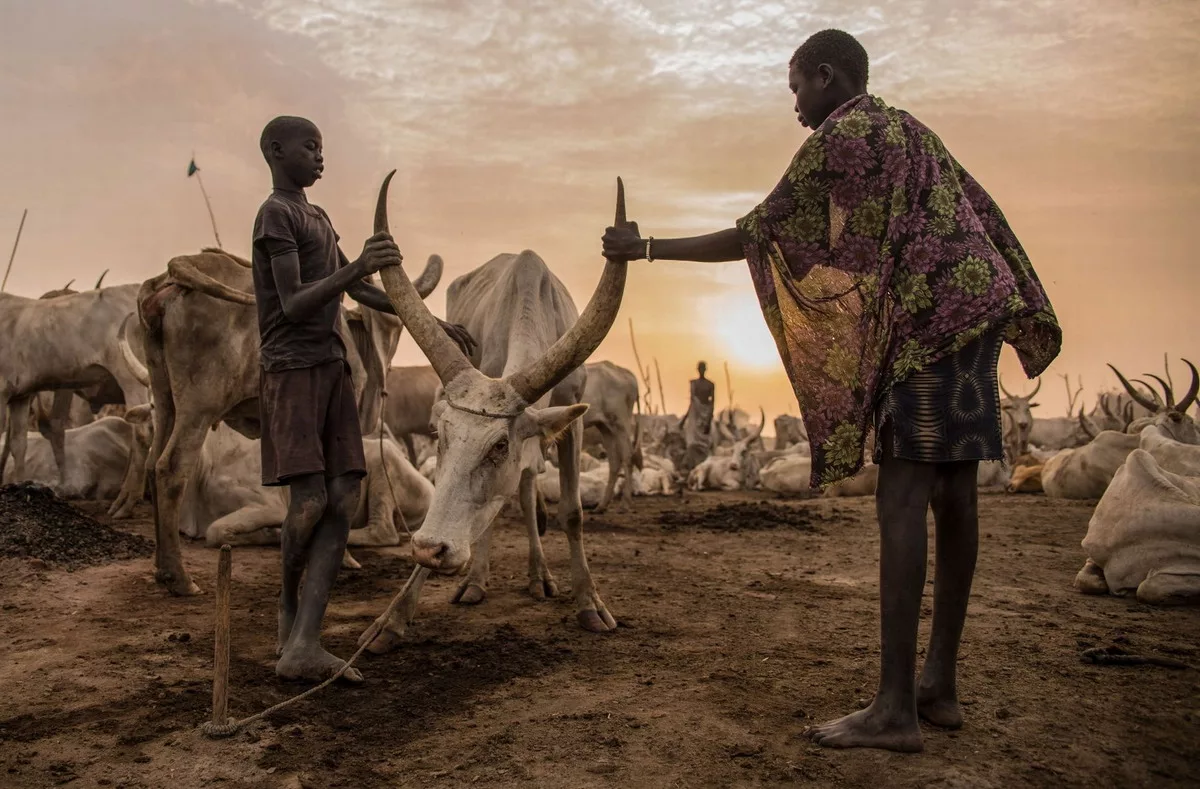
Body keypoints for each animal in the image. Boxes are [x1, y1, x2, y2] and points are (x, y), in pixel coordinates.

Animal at [360, 172, 633, 652]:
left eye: (500, 445)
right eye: (440, 434)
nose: (431, 548)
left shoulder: (570, 422)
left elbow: (572, 513)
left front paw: (590, 603)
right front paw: (392, 618)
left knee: (524, 489)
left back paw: (539, 576)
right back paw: (479, 580)